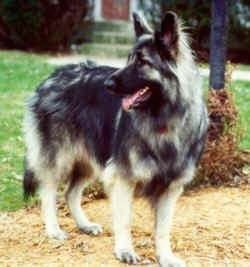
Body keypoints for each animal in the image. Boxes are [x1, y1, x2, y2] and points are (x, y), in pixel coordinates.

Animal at [23, 11, 208, 266]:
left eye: (142, 62)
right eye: (129, 59)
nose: (108, 84)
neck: (163, 120)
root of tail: (52, 76)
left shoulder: (171, 188)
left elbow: (163, 229)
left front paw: (165, 257)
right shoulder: (123, 178)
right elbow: (124, 220)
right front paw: (124, 250)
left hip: (89, 162)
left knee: (71, 193)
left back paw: (84, 225)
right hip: (60, 159)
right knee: (48, 193)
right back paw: (53, 230)